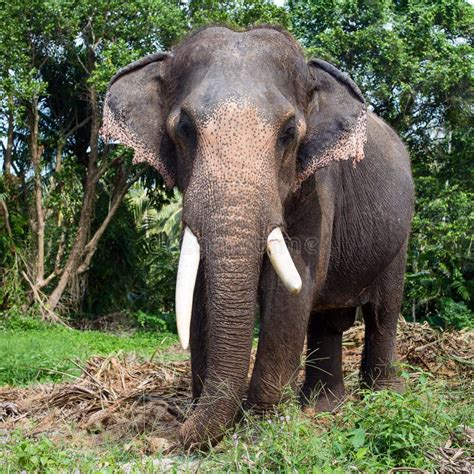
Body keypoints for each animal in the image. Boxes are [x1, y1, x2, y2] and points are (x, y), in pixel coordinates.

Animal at [102, 25, 412, 448]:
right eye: (184, 128)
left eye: (289, 133)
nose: (173, 433)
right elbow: (199, 291)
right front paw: (210, 415)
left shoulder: (315, 188)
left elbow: (291, 290)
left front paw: (260, 425)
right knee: (328, 321)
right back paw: (323, 407)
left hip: (400, 234)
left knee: (383, 311)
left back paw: (381, 398)